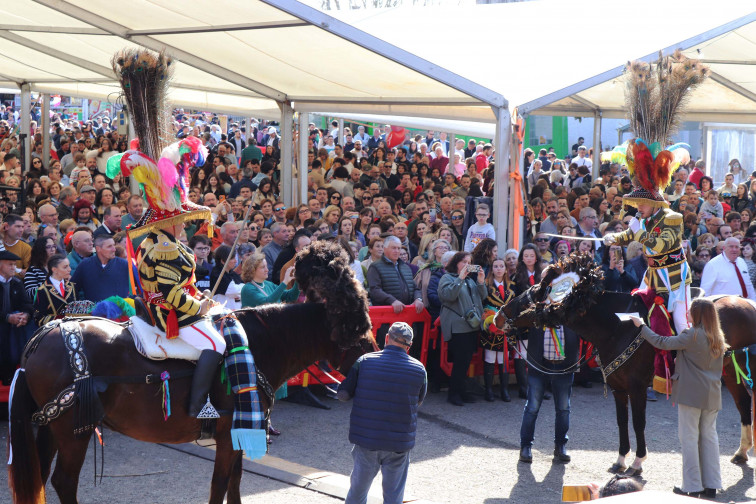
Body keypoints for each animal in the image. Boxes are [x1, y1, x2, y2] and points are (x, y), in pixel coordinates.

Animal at [5, 240, 372, 504]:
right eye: (359, 327)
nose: (375, 357)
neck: (259, 344)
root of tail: (43, 336)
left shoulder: (239, 433)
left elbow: (234, 485)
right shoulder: (227, 435)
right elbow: (220, 485)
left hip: (52, 427)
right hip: (73, 432)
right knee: (64, 481)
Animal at [496, 252, 756, 476]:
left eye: (536, 293)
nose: (498, 317)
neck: (617, 327)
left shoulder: (637, 387)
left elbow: (638, 422)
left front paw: (638, 462)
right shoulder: (618, 387)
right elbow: (622, 422)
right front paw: (621, 460)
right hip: (728, 370)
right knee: (743, 403)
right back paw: (741, 452)